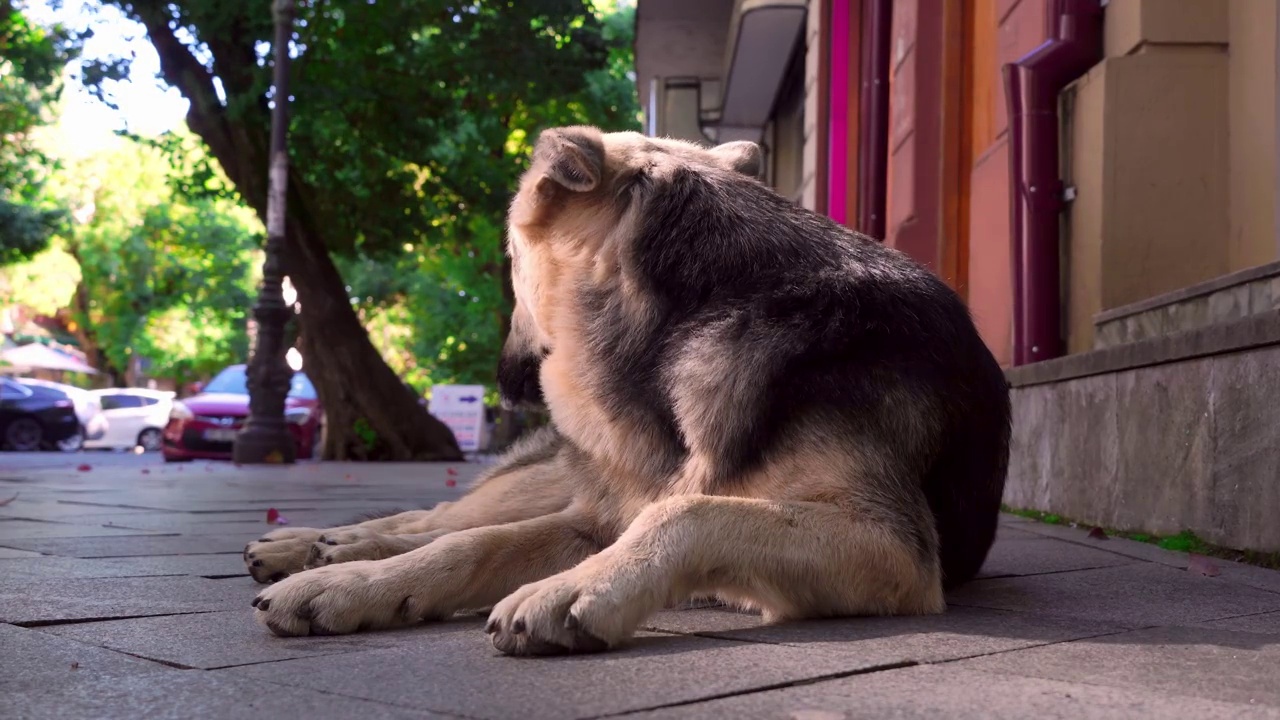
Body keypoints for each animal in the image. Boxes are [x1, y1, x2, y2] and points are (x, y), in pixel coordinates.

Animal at [247, 126, 1008, 653]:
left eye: (511, 261)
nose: (501, 376)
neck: (686, 320)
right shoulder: (590, 520)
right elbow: (468, 547)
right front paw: (349, 587)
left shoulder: (888, 547)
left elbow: (689, 511)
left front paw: (579, 587)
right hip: (549, 480)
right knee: (435, 520)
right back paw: (315, 549)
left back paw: (322, 550)